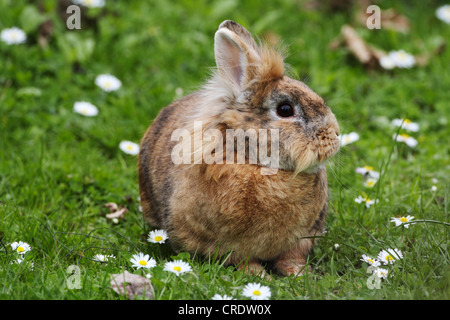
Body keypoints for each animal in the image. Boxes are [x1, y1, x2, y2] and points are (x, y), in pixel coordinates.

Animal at [139, 20, 340, 276]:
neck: (256, 164)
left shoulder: (302, 238)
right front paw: (260, 275)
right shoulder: (224, 245)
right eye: (285, 110)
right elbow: (242, 260)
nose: (336, 134)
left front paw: (300, 274)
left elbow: (291, 258)